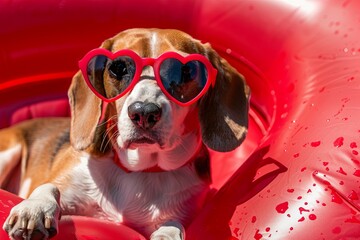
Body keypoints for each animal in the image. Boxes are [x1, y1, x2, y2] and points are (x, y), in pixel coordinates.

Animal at [0, 28, 249, 240]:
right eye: (118, 68)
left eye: (184, 72)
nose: (144, 112)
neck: (138, 170)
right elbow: (48, 187)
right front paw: (35, 208)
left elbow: (173, 224)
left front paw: (166, 233)